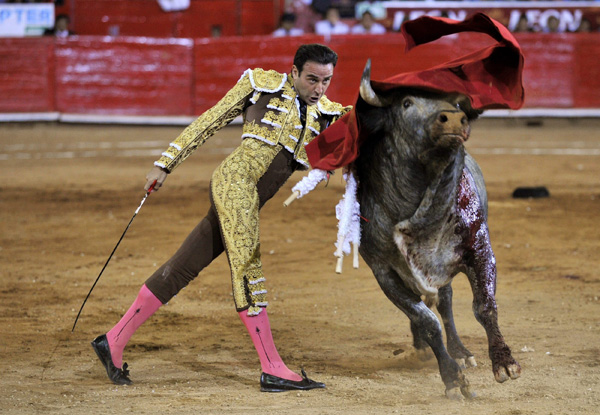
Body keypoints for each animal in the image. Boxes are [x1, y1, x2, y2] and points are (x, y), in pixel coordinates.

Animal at [352, 62, 520, 400]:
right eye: (406, 102)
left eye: (455, 102)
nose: (453, 119)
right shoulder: (383, 271)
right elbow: (425, 320)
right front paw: (452, 379)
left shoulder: (480, 249)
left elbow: (484, 307)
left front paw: (504, 363)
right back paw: (422, 348)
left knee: (445, 301)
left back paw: (461, 351)